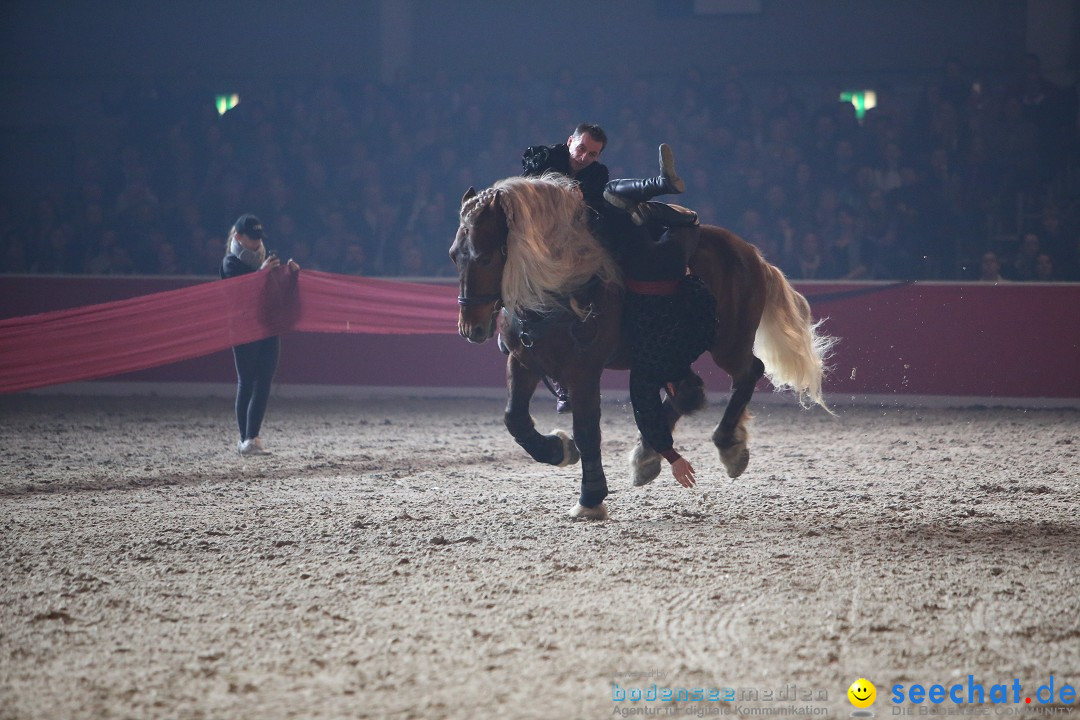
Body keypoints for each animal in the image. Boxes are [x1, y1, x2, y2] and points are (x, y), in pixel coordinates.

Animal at [447, 174, 833, 520]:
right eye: (454, 256)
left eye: (484, 257)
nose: (471, 328)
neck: (561, 284)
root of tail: (750, 253)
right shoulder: (524, 361)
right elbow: (515, 420)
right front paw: (559, 450)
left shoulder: (584, 371)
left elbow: (587, 430)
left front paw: (591, 498)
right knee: (690, 390)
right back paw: (648, 455)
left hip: (727, 343)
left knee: (748, 371)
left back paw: (727, 445)